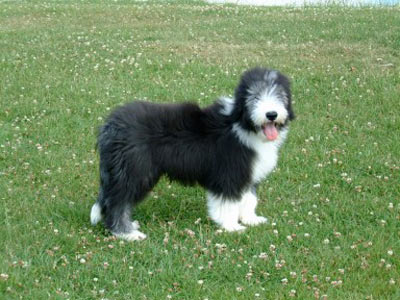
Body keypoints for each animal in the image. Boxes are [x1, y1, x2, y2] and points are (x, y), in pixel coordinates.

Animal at [92, 67, 296, 240]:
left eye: (280, 95)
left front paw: (250, 219)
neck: (241, 124)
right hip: (134, 171)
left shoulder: (247, 175)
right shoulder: (229, 174)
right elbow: (229, 203)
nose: (271, 114)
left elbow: (249, 199)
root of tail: (110, 125)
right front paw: (232, 227)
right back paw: (126, 233)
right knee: (118, 202)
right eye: (255, 97)